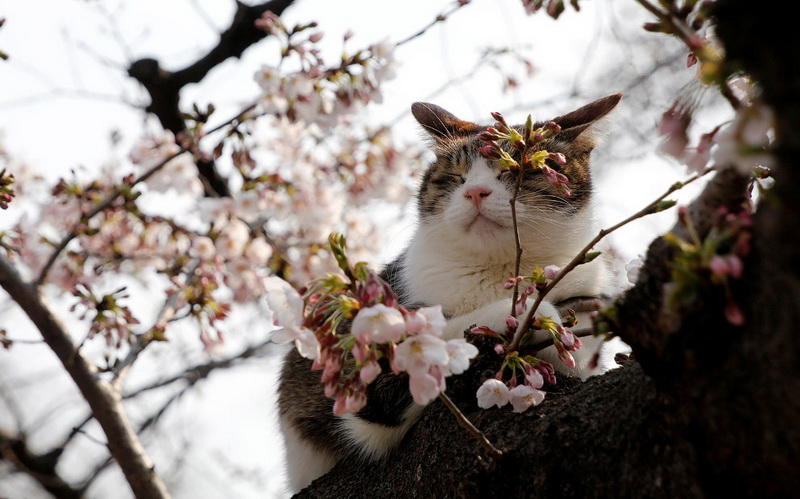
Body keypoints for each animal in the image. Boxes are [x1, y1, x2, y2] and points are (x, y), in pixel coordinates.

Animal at [278, 94, 628, 496]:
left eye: (518, 171)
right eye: (455, 177)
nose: (475, 191)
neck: (500, 271)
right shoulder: (367, 389)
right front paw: (535, 316)